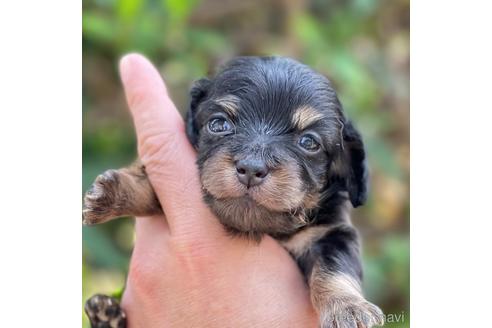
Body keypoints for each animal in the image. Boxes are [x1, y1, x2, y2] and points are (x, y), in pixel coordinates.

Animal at [83, 56, 384, 328]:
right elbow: (149, 183)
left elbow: (333, 269)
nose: (251, 168)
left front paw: (349, 308)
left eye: (309, 142)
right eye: (219, 124)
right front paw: (111, 194)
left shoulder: (331, 234)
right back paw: (105, 313)